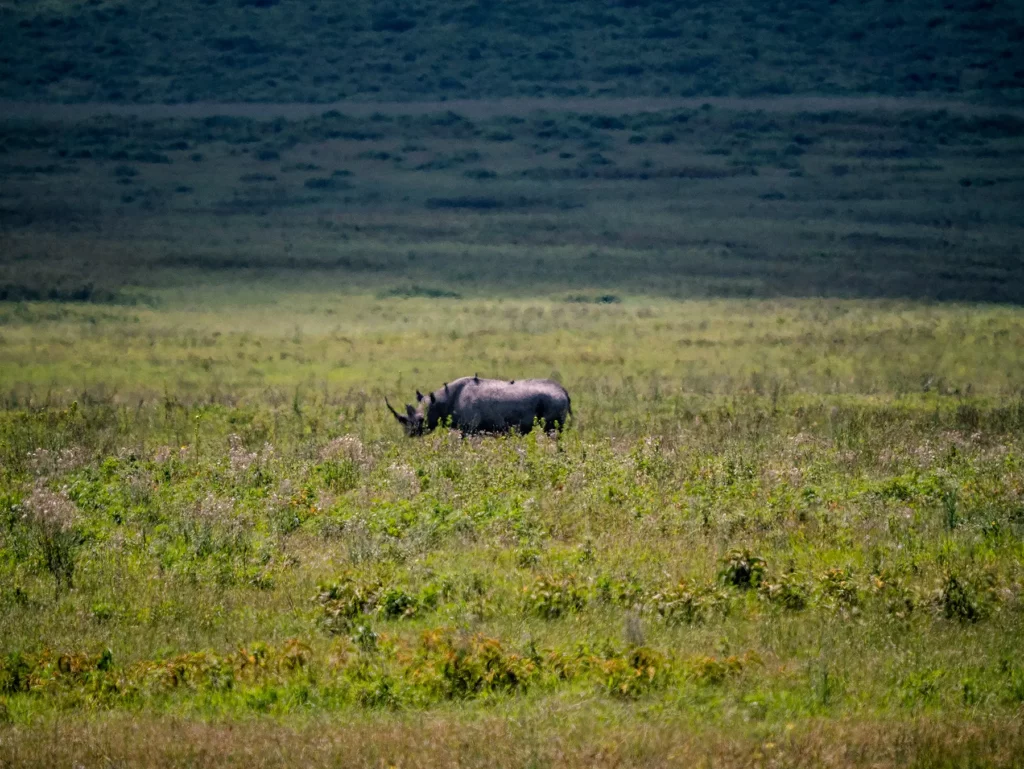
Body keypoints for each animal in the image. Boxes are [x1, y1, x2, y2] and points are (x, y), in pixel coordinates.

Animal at [386, 375, 572, 436]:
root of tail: (564, 391)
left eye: (421, 420)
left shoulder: (470, 429)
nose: (409, 433)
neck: (439, 402)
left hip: (553, 402)